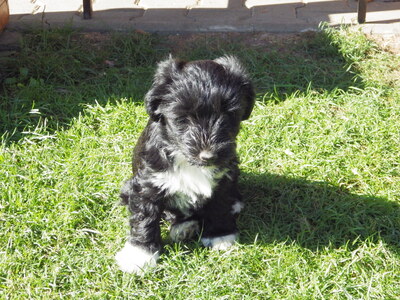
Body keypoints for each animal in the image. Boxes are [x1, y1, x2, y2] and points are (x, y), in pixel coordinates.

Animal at [114, 55, 255, 274]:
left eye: (228, 115)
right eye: (183, 117)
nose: (208, 156)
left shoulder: (223, 179)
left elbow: (219, 204)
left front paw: (220, 234)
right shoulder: (147, 185)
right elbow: (144, 218)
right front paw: (140, 255)